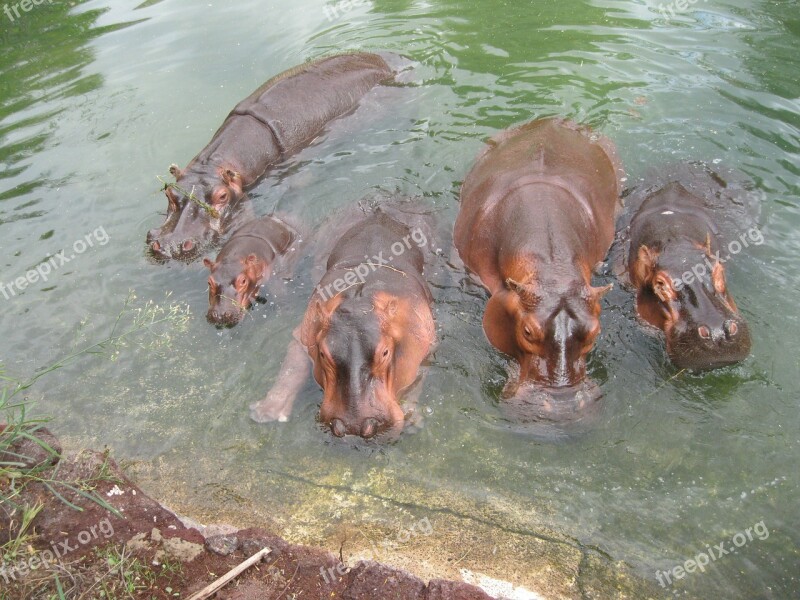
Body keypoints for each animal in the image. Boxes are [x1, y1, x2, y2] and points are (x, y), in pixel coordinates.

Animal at [252, 199, 434, 438]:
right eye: (322, 353)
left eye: (385, 352)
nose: (354, 426)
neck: (359, 299)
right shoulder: (305, 333)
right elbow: (292, 367)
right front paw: (264, 413)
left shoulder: (425, 343)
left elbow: (418, 378)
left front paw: (414, 420)